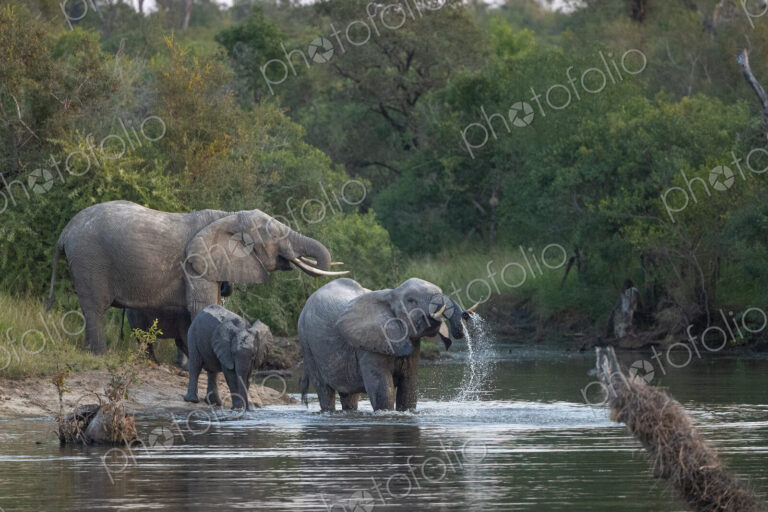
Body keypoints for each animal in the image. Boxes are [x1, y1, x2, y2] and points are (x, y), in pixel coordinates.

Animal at [45, 200, 346, 354]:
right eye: (272, 234)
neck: (228, 215)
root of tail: (64, 232)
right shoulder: (197, 263)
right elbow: (202, 307)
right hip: (89, 258)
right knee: (95, 309)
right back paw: (99, 355)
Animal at [298, 278, 476, 412]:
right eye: (411, 300)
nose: (466, 315)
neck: (391, 293)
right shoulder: (369, 343)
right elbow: (383, 392)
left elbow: (409, 389)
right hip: (306, 342)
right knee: (324, 390)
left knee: (349, 396)